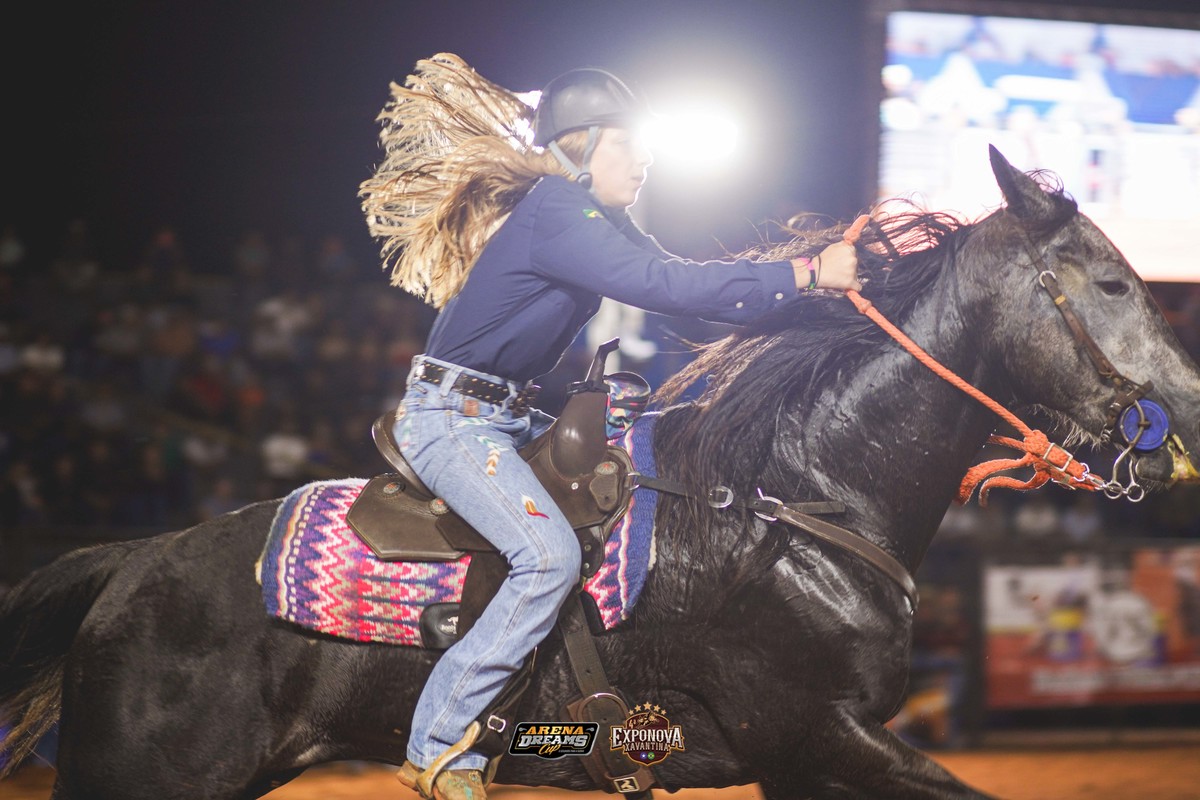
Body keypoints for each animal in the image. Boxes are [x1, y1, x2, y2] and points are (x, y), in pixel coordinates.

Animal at [3, 147, 1200, 800]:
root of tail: (131, 562)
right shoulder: (820, 731)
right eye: (1109, 280)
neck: (800, 504)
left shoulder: (806, 758)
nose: (1185, 409)